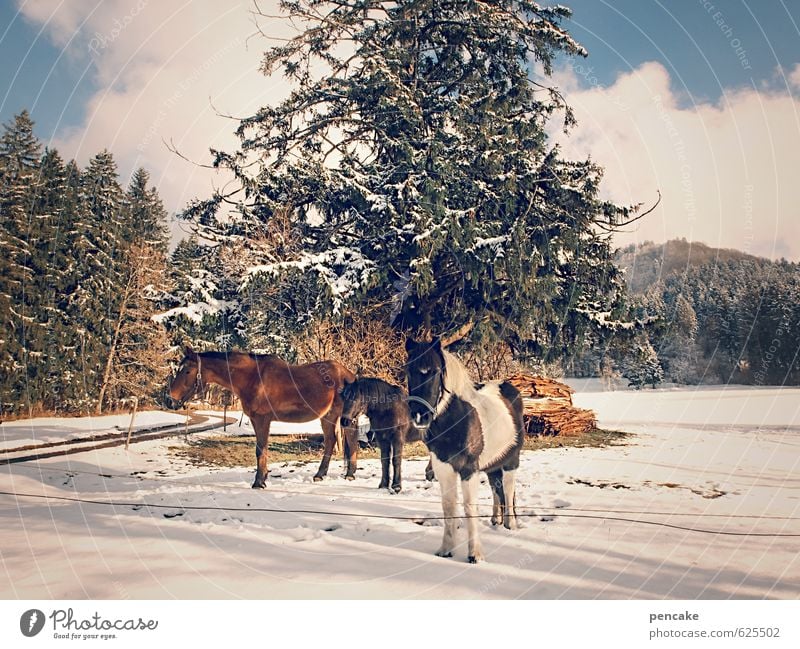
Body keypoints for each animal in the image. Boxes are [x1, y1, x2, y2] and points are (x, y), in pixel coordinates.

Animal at [167, 350, 354, 486]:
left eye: (187, 371)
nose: (170, 400)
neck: (252, 378)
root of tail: (349, 374)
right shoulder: (256, 420)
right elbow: (260, 449)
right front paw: (262, 478)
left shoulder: (262, 419)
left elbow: (260, 450)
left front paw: (258, 482)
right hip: (327, 416)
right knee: (331, 441)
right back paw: (320, 475)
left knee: (349, 439)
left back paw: (349, 474)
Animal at [406, 336, 524, 564]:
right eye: (409, 370)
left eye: (435, 371)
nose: (420, 415)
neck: (457, 418)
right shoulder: (444, 468)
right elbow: (449, 506)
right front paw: (446, 549)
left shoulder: (469, 470)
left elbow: (470, 507)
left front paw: (475, 554)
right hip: (492, 465)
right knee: (497, 489)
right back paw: (496, 520)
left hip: (511, 461)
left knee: (508, 489)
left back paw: (510, 525)